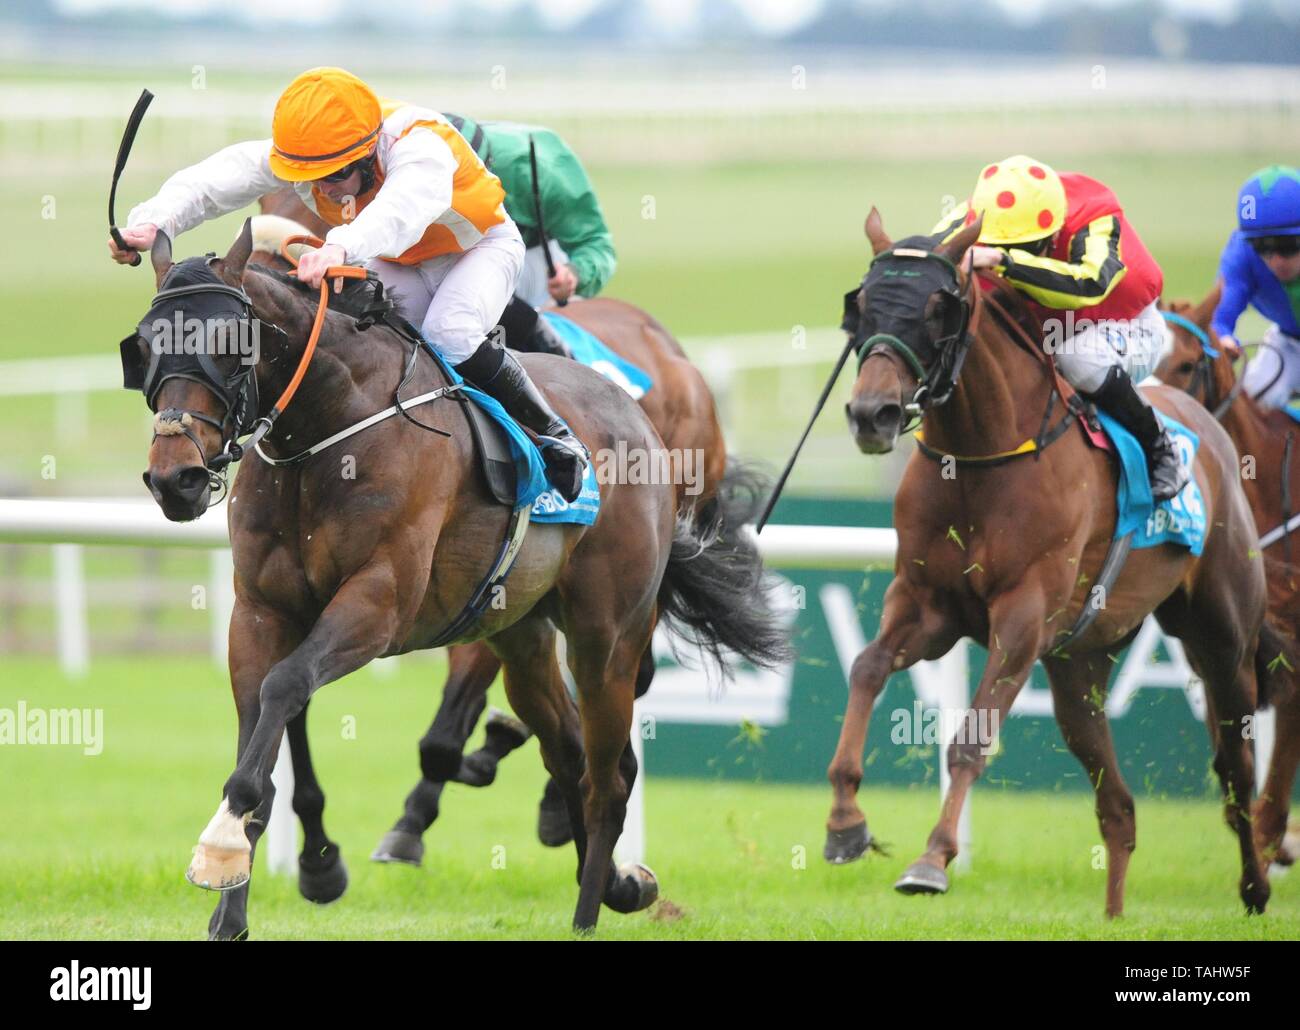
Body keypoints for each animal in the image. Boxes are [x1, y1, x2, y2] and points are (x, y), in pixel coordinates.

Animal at [832, 209, 1279, 915]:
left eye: (937, 309)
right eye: (863, 305)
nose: (871, 415)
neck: (980, 457)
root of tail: (1207, 427)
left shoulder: (1022, 614)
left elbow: (971, 738)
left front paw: (932, 860)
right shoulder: (926, 605)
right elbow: (867, 668)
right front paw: (846, 821)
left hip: (1223, 640)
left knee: (1235, 766)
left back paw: (1256, 885)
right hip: (1078, 667)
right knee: (1119, 808)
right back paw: (1116, 916)